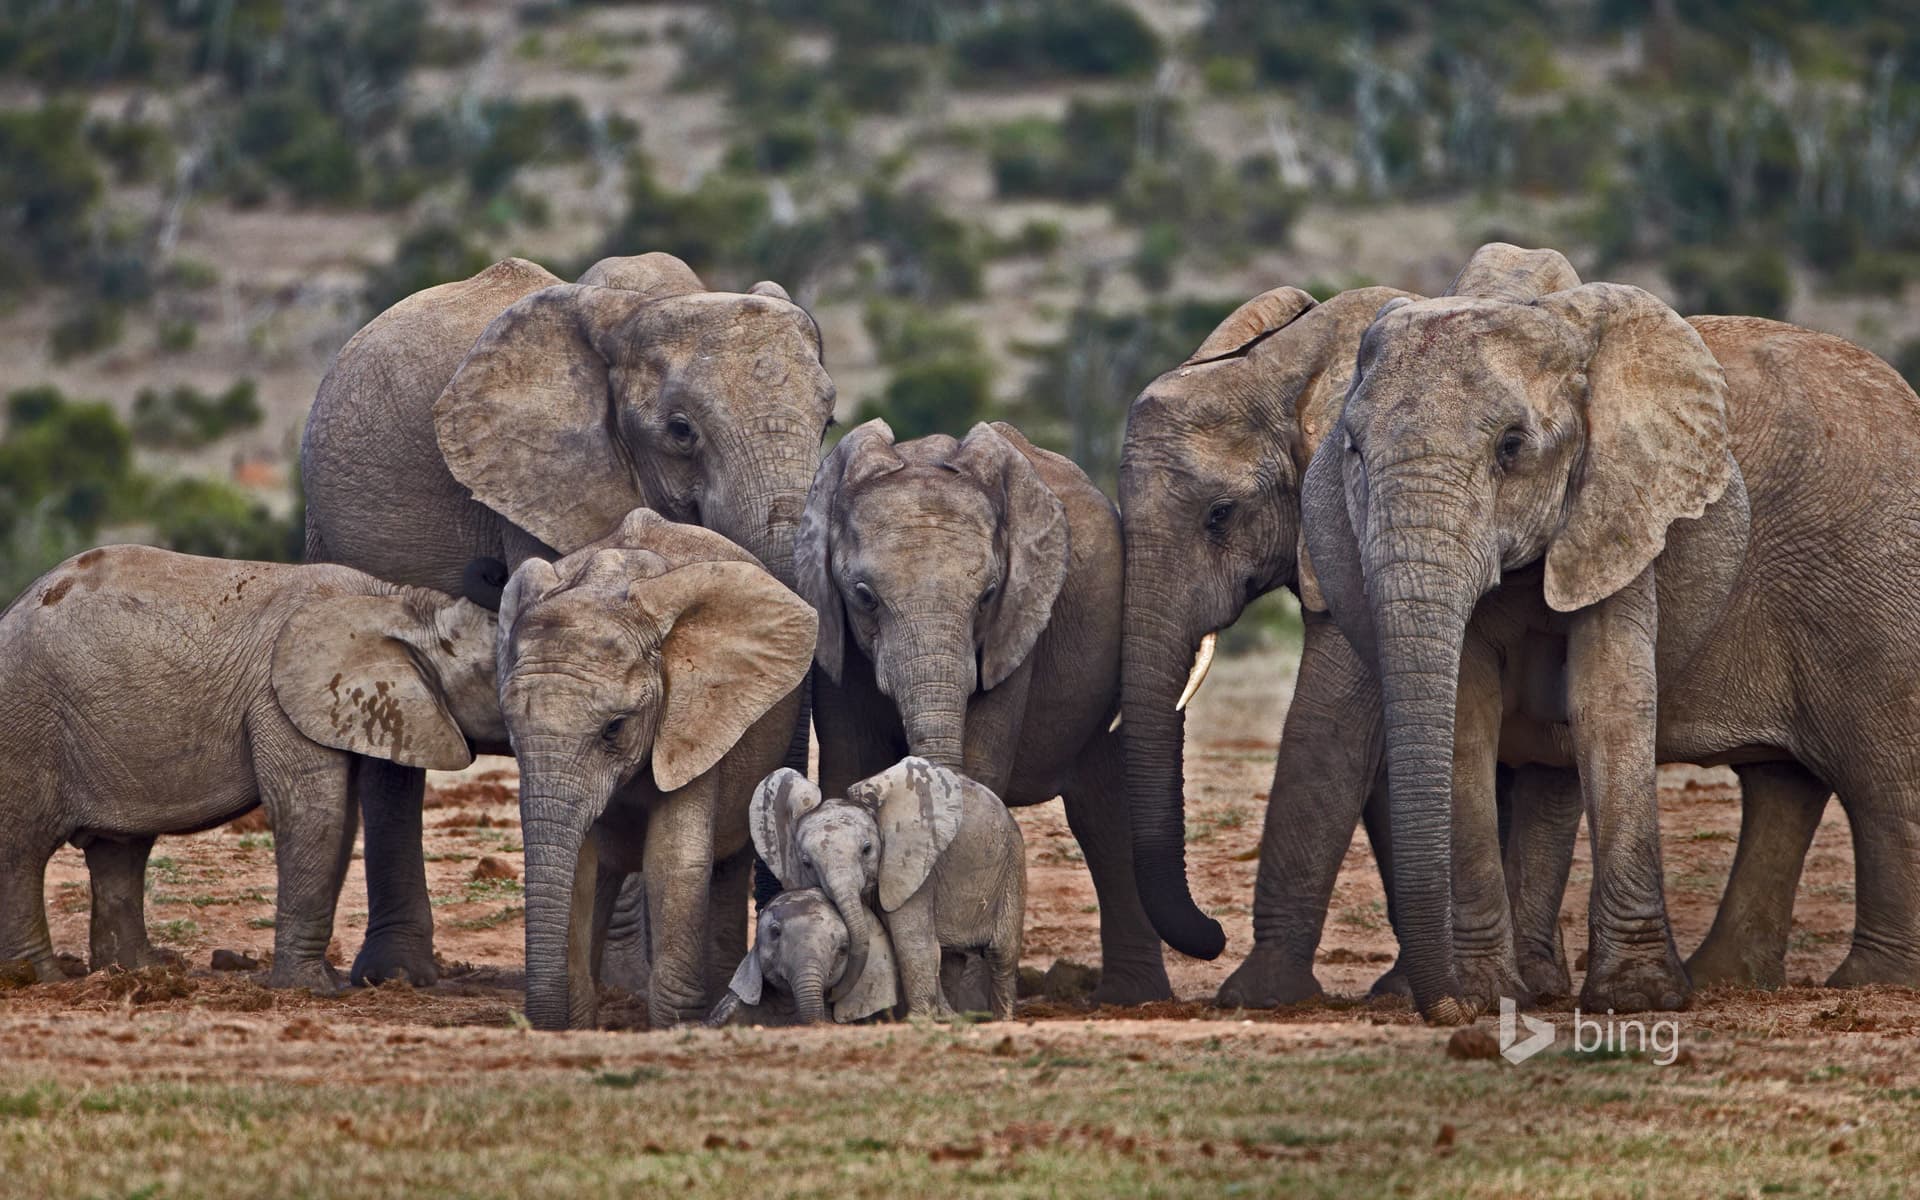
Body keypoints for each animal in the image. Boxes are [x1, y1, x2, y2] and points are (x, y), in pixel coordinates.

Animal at [0, 545, 503, 992]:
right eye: (493, 672)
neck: (401, 604)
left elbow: (340, 820)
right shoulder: (278, 701)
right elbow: (311, 812)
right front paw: (313, 990)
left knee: (119, 851)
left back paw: (139, 973)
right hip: (26, 723)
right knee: (22, 850)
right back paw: (40, 981)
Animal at [494, 509, 816, 1029]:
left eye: (615, 727)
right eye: (509, 725)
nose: (533, 1022)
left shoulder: (695, 717)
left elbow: (673, 860)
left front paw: (677, 1027)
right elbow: (578, 865)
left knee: (724, 867)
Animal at [754, 759, 1025, 1019]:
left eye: (867, 849)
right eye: (807, 863)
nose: (832, 995)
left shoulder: (913, 866)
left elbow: (911, 940)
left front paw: (918, 1020)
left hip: (1012, 861)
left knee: (1001, 953)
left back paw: (1001, 1019)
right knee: (950, 954)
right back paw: (950, 1015)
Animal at [797, 418, 1167, 1003]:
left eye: (989, 595)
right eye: (864, 596)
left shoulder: (1016, 630)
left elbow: (980, 761)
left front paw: (964, 998)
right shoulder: (833, 636)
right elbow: (849, 761)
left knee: (1103, 816)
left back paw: (1131, 998)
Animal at [1301, 273, 1920, 1021]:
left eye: (1512, 446)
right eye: (1354, 454)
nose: (1448, 1010)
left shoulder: (1625, 511)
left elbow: (1610, 699)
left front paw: (1637, 999)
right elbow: (1468, 716)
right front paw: (1491, 995)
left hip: (1873, 577)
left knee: (1881, 773)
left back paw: (1872, 983)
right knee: (1785, 782)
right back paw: (1727, 980)